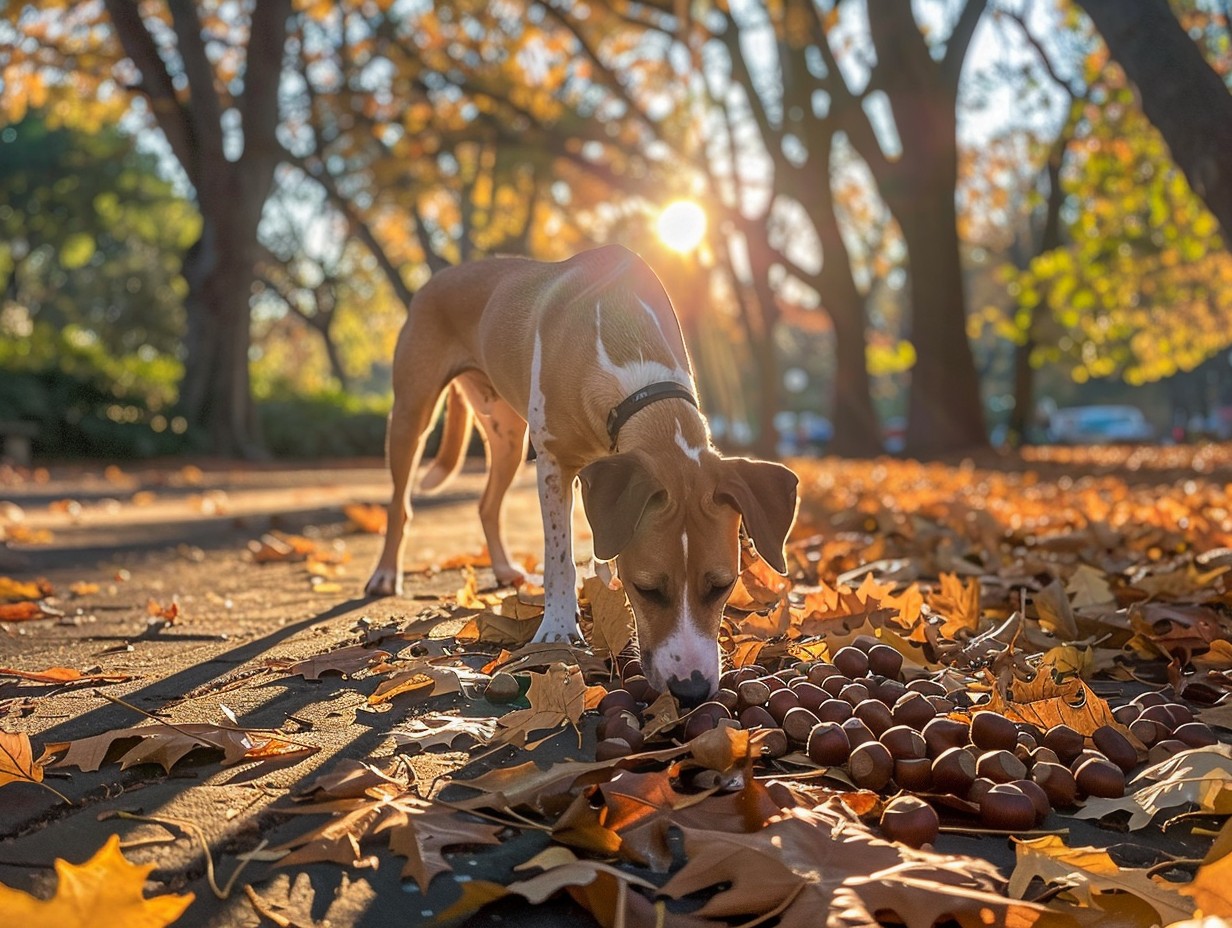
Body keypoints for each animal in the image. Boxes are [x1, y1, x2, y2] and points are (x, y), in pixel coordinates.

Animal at [362, 244, 798, 700]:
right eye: (646, 588)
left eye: (721, 585)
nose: (691, 690)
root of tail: (441, 277)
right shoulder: (553, 462)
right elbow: (559, 558)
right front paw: (557, 629)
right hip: (412, 411)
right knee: (400, 504)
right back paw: (385, 575)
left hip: (507, 435)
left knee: (487, 505)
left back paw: (503, 568)